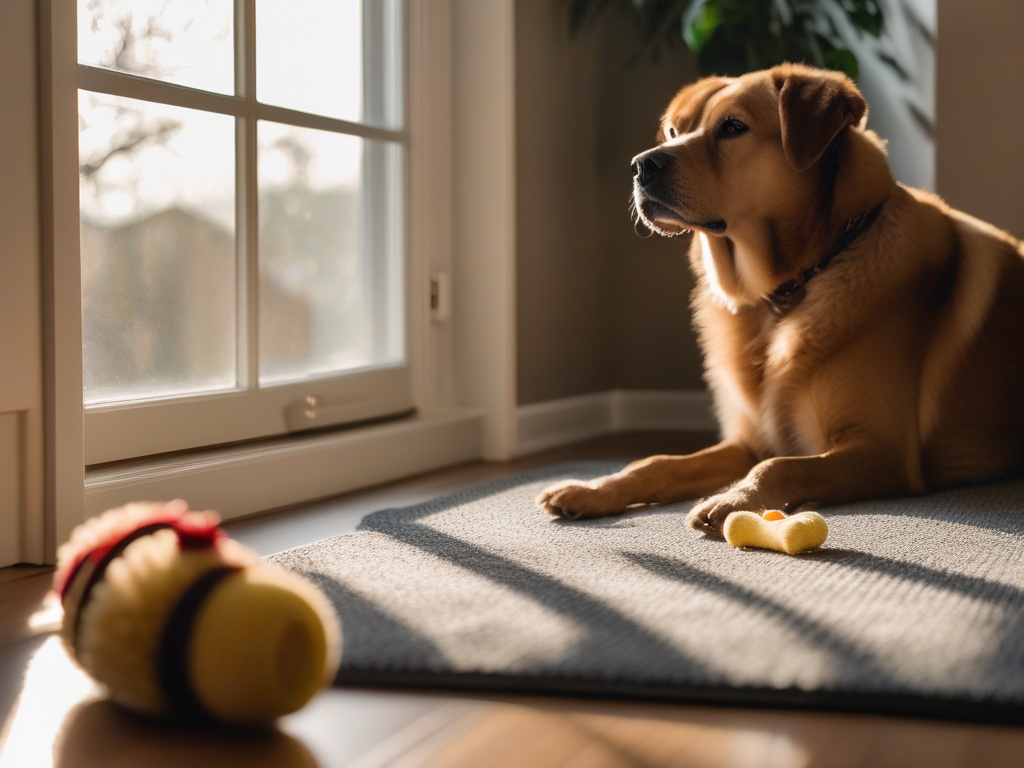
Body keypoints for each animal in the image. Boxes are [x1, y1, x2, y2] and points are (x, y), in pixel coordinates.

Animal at [536, 63, 1024, 536]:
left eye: (733, 127)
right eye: (674, 131)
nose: (641, 165)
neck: (782, 295)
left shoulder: (881, 450)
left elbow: (781, 466)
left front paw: (733, 499)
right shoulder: (748, 440)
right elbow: (656, 462)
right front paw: (593, 489)